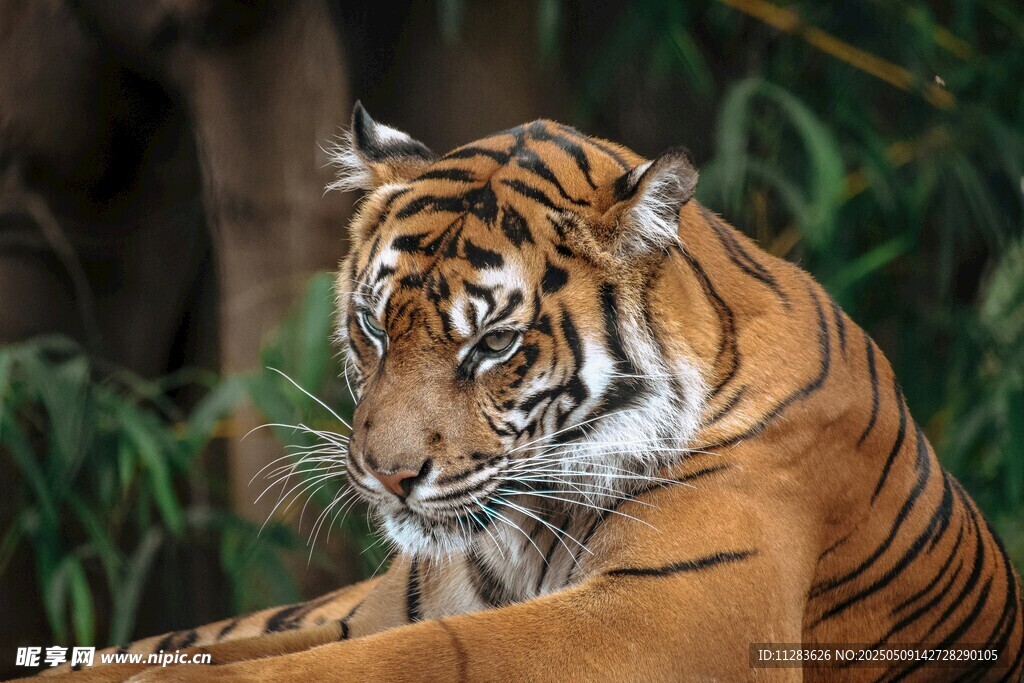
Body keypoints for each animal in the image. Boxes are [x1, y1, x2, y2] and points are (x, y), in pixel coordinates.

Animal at [44, 103, 1022, 682]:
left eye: (494, 344)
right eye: (373, 327)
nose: (386, 475)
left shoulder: (669, 613)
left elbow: (416, 657)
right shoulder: (378, 610)